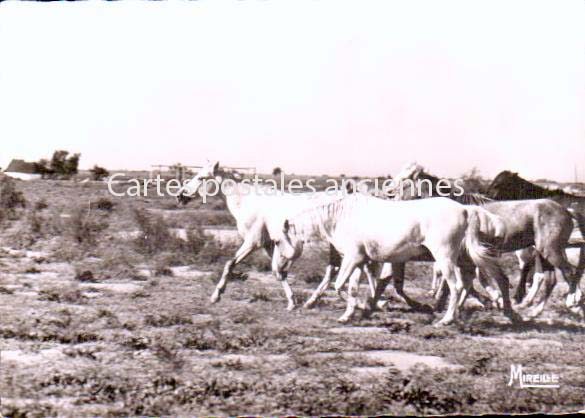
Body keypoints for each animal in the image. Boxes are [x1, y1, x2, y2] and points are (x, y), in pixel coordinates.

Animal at [274, 193, 516, 326]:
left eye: (276, 242)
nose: (277, 271)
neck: (340, 218)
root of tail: (466, 210)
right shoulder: (359, 261)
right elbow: (351, 288)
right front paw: (351, 314)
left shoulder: (352, 258)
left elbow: (339, 286)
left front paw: (365, 307)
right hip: (463, 259)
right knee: (470, 284)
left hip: (445, 257)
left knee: (456, 286)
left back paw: (446, 319)